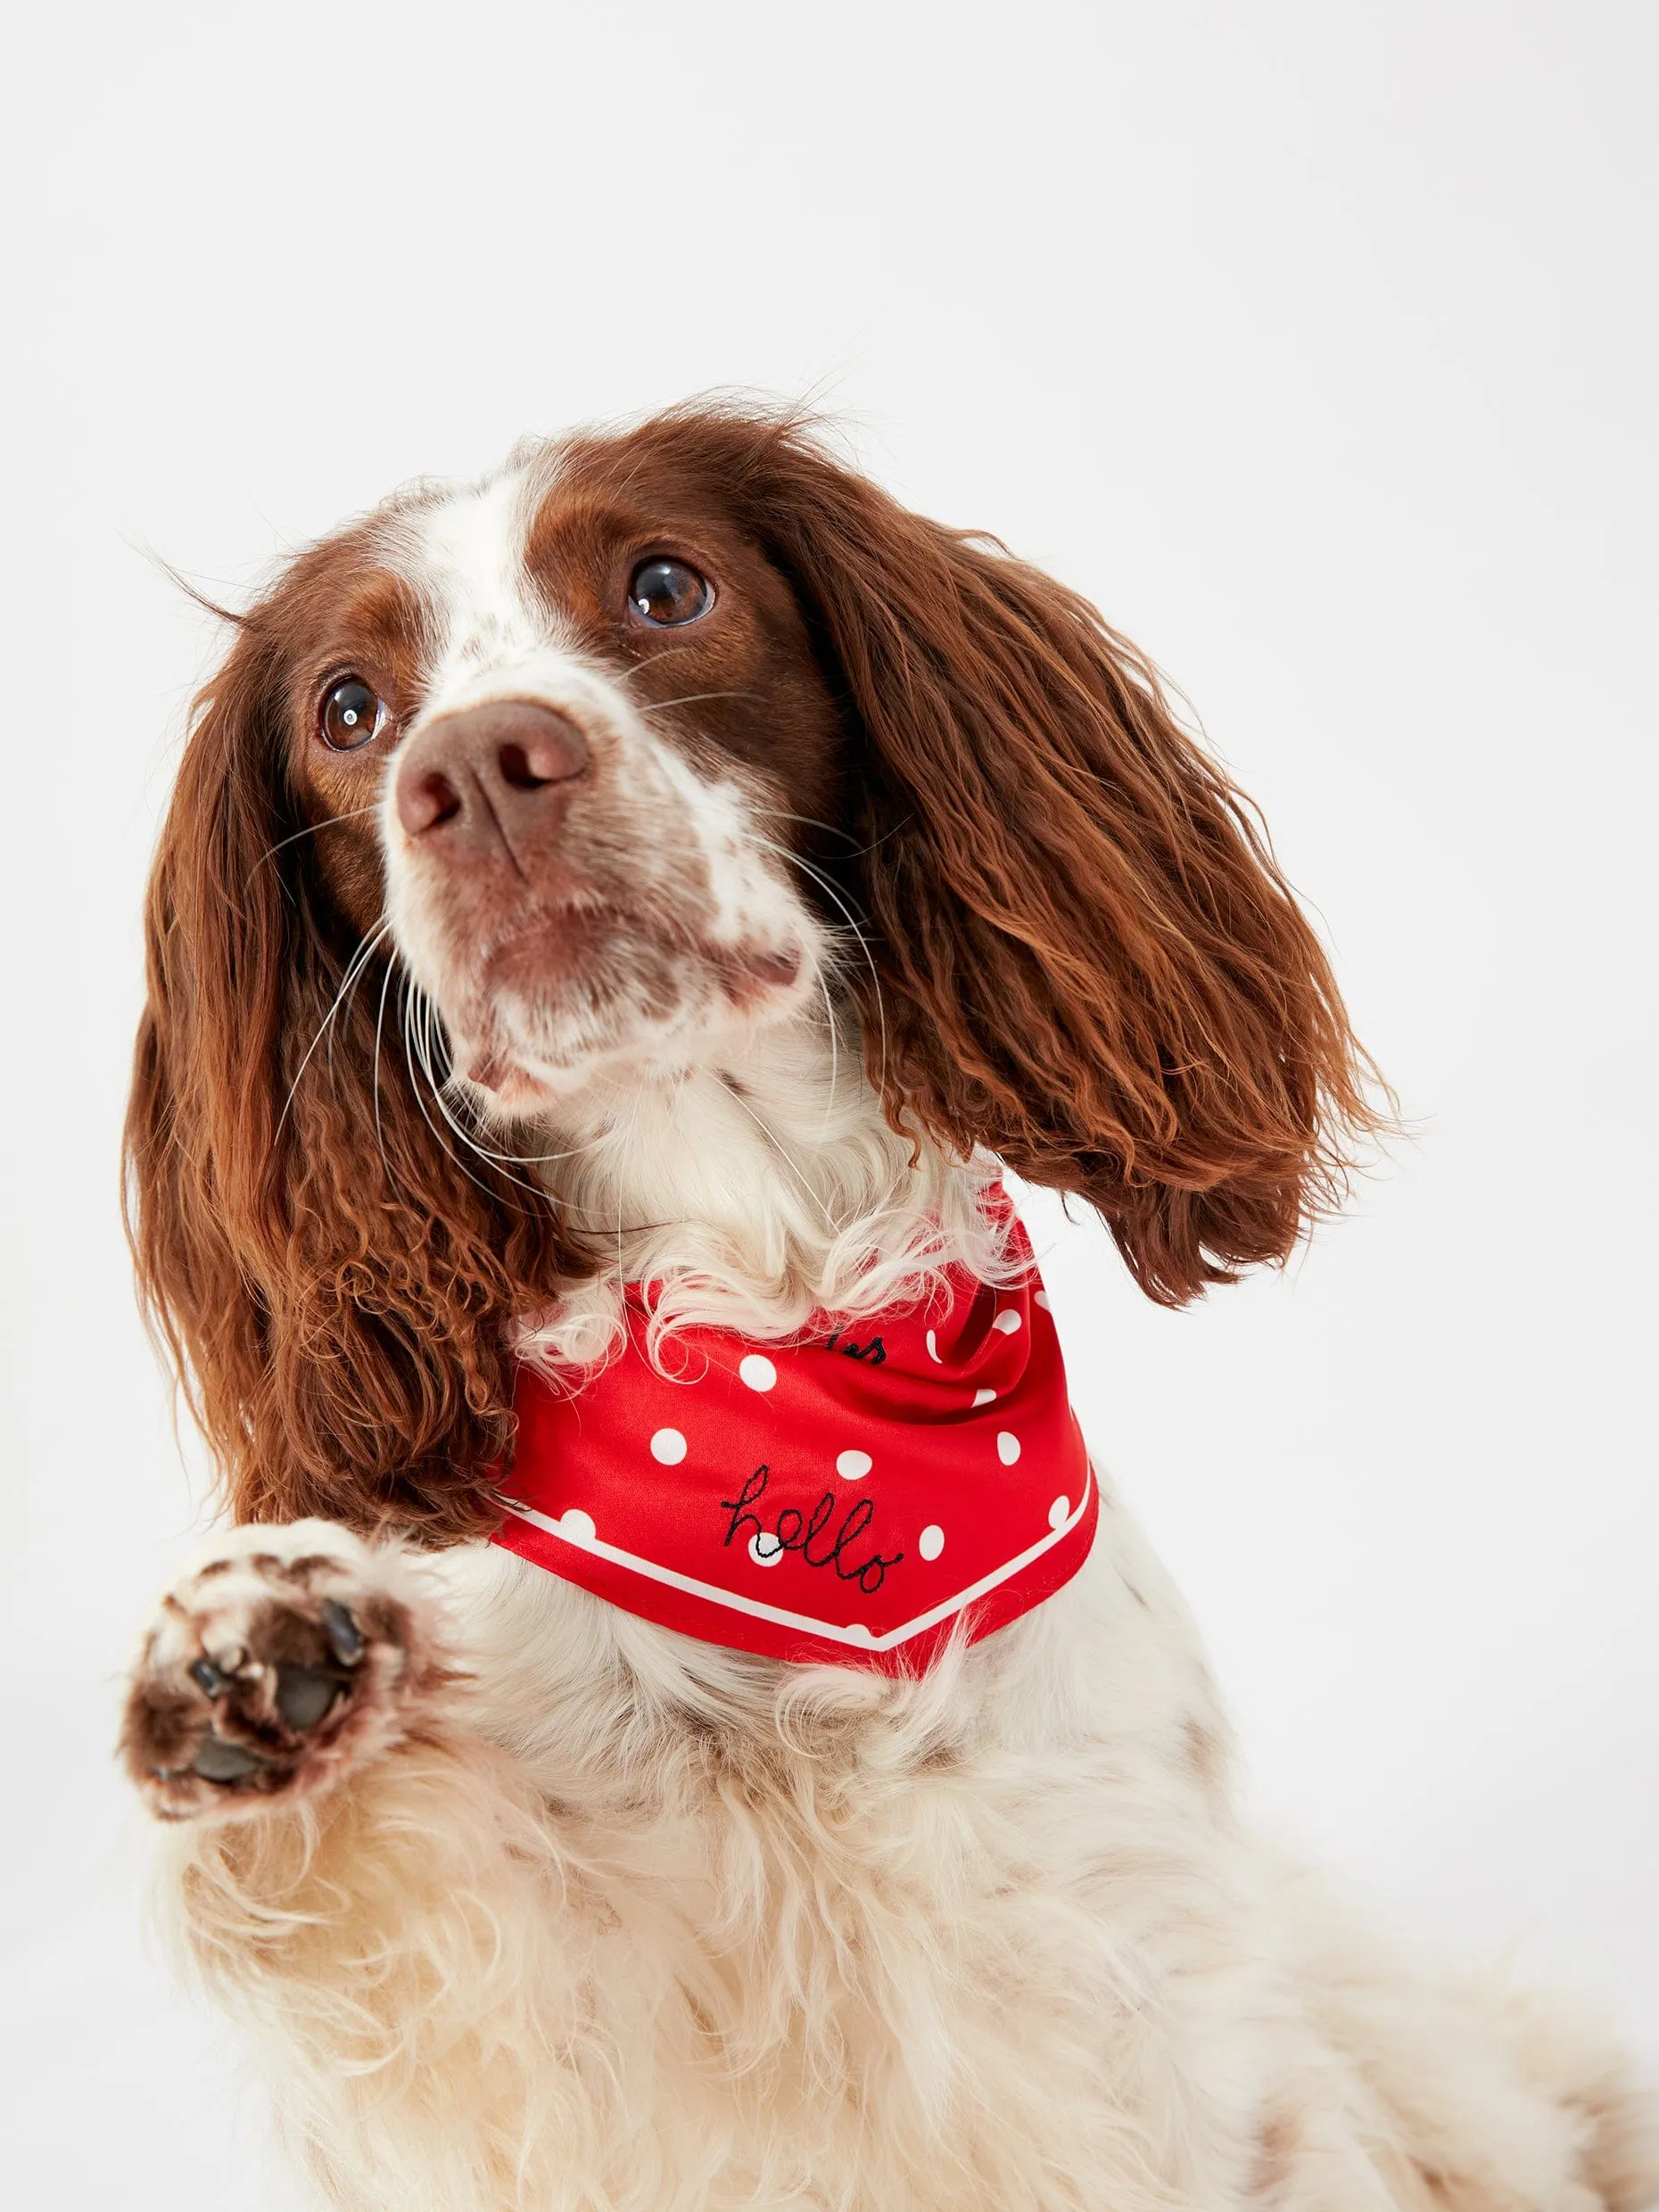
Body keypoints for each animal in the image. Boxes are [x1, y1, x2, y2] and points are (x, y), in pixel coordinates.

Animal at [113, 402, 1655, 2212]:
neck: (790, 1367)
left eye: (665, 585)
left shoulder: (1152, 2009)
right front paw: (251, 1657)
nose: (476, 769)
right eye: (349, 708)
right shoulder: (570, 2045)